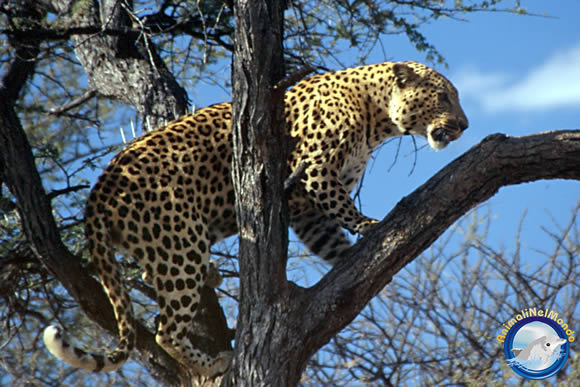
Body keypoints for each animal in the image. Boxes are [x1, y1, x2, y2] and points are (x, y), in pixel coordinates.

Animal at [43, 61, 468, 378]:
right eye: (443, 96)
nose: (464, 126)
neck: (375, 117)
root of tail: (98, 193)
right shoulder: (315, 171)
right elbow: (343, 208)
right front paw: (371, 226)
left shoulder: (309, 210)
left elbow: (331, 240)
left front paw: (351, 260)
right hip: (179, 240)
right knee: (166, 330)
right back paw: (215, 360)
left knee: (151, 276)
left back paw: (212, 278)